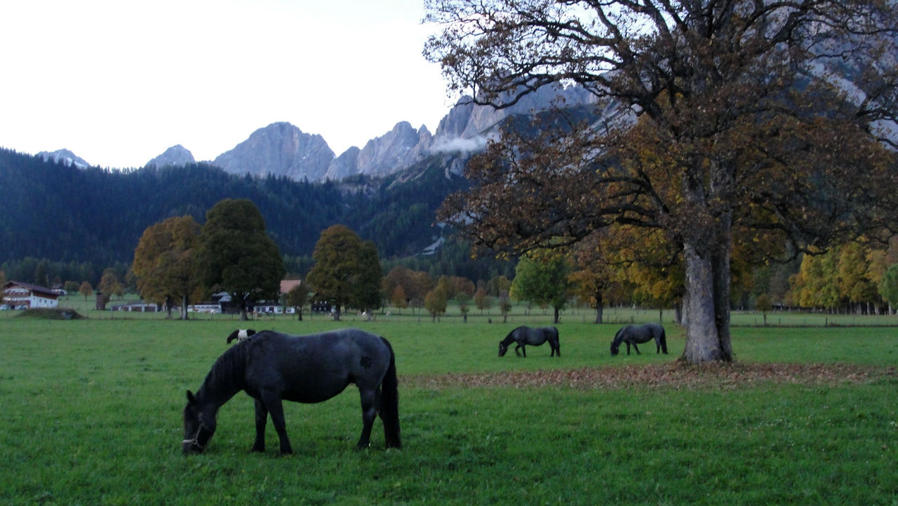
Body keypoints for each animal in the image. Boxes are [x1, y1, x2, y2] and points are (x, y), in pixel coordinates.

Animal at [182, 328, 400, 454]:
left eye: (197, 422)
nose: (187, 450)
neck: (248, 358)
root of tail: (379, 339)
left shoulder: (271, 395)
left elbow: (279, 423)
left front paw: (286, 450)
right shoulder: (259, 398)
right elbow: (260, 422)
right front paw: (257, 448)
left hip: (367, 388)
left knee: (369, 415)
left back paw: (361, 445)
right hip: (374, 389)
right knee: (384, 413)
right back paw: (390, 444)